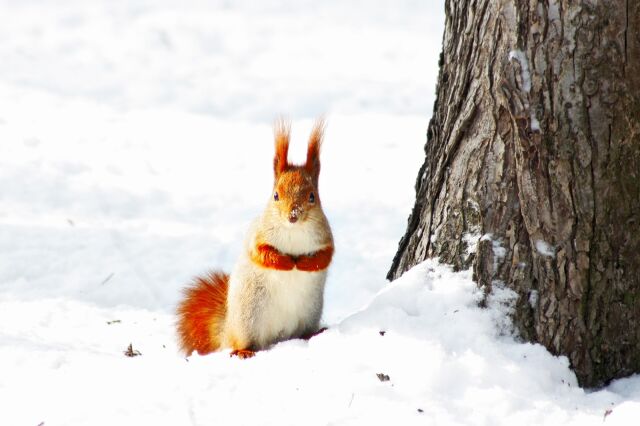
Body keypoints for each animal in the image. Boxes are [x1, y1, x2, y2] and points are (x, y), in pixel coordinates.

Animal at [176, 118, 336, 358]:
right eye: (276, 195)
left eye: (312, 197)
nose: (293, 216)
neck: (294, 231)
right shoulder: (258, 234)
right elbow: (261, 253)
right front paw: (286, 262)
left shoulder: (325, 237)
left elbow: (325, 257)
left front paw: (304, 263)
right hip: (248, 320)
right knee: (242, 342)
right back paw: (243, 351)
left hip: (308, 315)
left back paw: (314, 333)